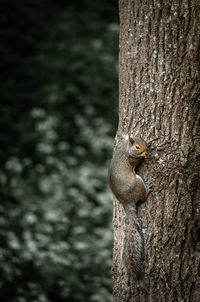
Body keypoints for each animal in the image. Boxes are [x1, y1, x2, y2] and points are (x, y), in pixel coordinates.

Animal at [108, 136, 151, 280]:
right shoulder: (132, 158)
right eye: (137, 147)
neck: (126, 147)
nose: (147, 151)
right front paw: (145, 156)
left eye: (144, 142)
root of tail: (127, 203)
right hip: (137, 182)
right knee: (142, 197)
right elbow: (137, 160)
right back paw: (147, 191)